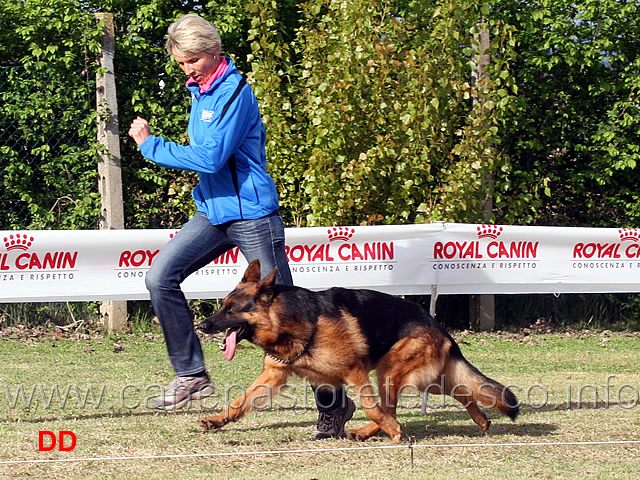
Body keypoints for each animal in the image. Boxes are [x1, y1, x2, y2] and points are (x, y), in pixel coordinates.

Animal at [198, 260, 516, 440]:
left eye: (232, 310)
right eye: (223, 306)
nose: (202, 325)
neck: (287, 320)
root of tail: (437, 325)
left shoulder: (355, 372)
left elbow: (371, 408)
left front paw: (395, 431)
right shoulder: (273, 375)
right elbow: (239, 401)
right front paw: (216, 420)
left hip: (391, 373)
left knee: (391, 407)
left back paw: (380, 430)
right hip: (427, 378)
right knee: (464, 391)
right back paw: (481, 420)